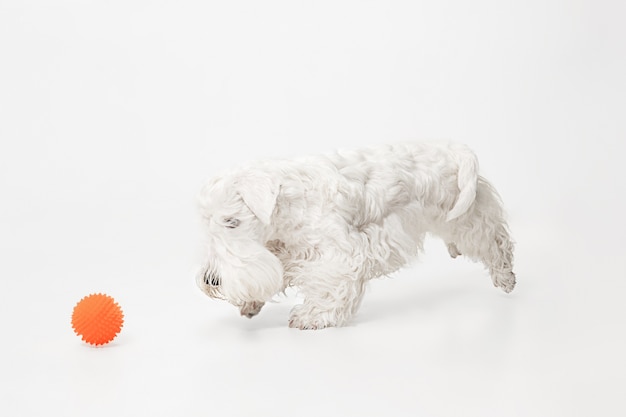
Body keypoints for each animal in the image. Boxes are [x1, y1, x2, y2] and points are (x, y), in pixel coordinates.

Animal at [197, 143, 516, 328]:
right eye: (207, 223)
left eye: (232, 221)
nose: (211, 281)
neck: (287, 200)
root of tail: (454, 152)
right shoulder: (284, 248)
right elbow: (266, 271)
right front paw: (250, 301)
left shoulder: (339, 251)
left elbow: (331, 284)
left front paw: (311, 316)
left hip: (468, 215)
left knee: (495, 241)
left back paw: (505, 278)